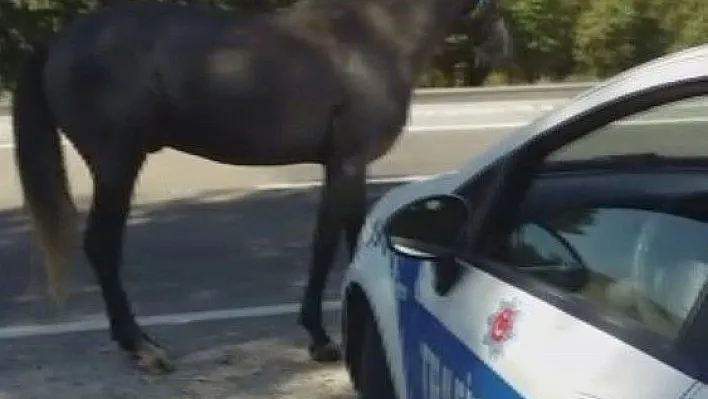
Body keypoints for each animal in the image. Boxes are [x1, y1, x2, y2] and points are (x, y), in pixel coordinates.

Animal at [9, 0, 508, 376]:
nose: (501, 46)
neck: (373, 35)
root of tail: (57, 42)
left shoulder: (348, 167)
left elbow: (350, 236)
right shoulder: (346, 163)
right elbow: (326, 244)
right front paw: (321, 338)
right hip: (118, 166)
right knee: (102, 246)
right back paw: (142, 348)